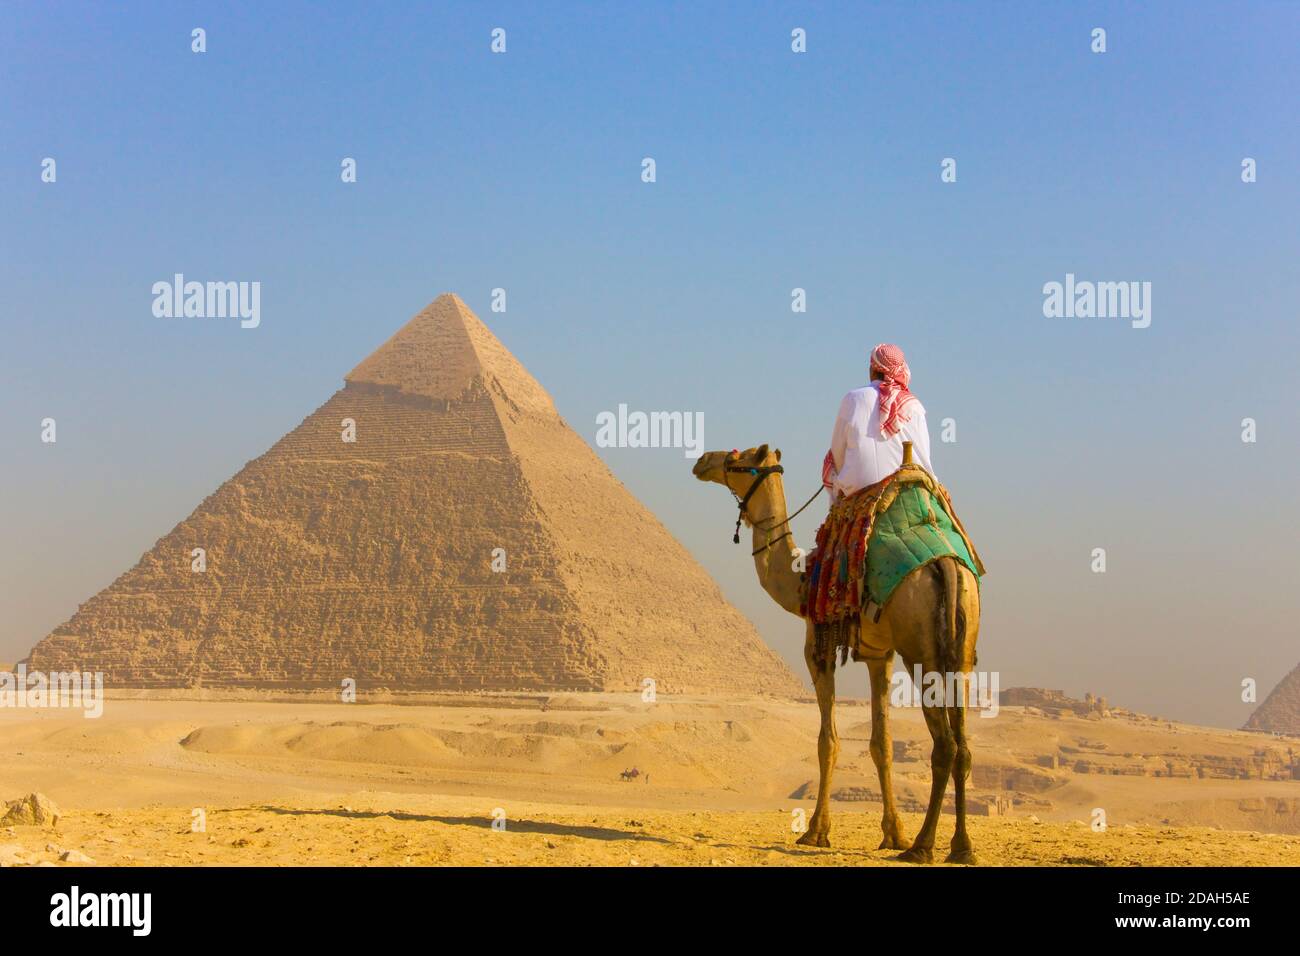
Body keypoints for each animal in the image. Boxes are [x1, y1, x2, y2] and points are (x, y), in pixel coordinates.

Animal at [696, 444, 977, 863]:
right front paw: (893, 833)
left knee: (945, 744)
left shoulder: (819, 648)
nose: (702, 462)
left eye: (734, 459)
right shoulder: (880, 655)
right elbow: (881, 744)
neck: (800, 579)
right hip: (962, 652)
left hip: (920, 653)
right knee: (963, 746)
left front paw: (816, 832)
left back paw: (923, 847)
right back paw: (960, 847)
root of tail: (944, 563)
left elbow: (827, 741)